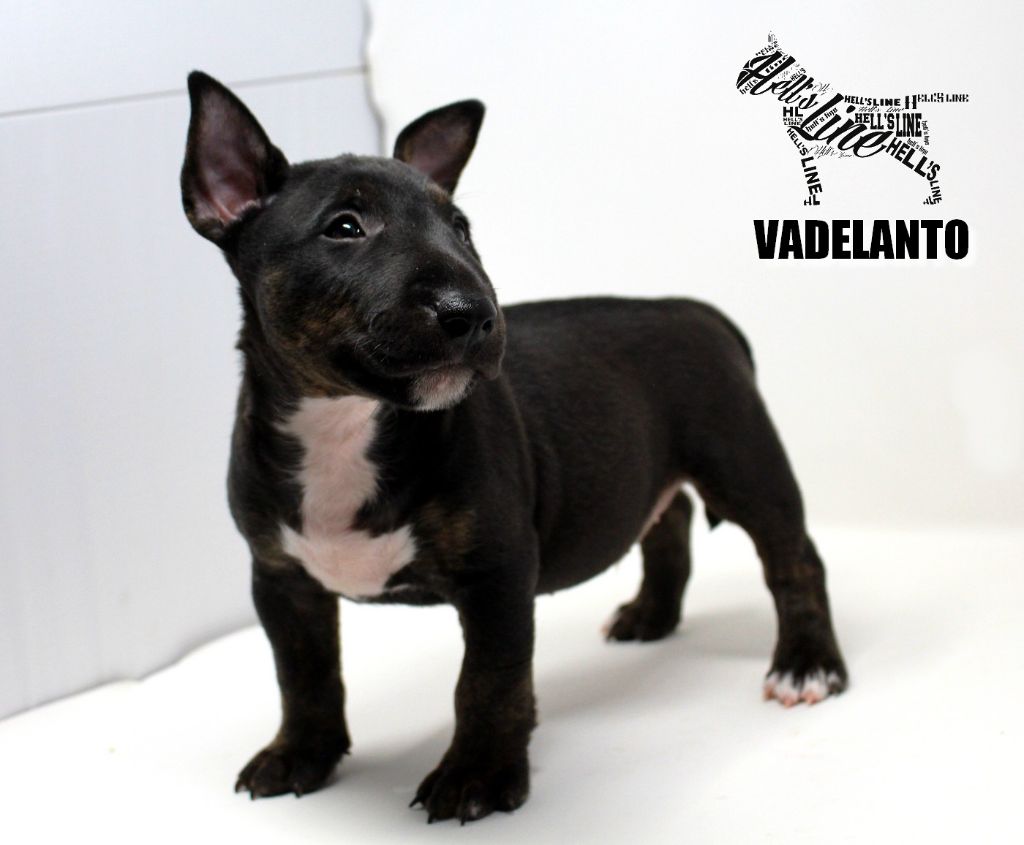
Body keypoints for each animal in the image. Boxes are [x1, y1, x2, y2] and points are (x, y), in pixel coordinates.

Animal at [180, 71, 848, 824]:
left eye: (462, 229)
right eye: (344, 227)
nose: (474, 314)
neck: (346, 422)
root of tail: (695, 309)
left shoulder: (498, 572)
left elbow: (488, 681)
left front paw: (476, 775)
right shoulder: (279, 578)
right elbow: (302, 672)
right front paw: (301, 753)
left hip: (744, 461)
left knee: (794, 559)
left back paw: (807, 665)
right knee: (666, 517)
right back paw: (650, 615)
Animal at [737, 32, 966, 206]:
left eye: (757, 60)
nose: (738, 82)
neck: (802, 97)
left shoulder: (803, 144)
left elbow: (811, 175)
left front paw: (814, 200)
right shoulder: (803, 144)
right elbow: (812, 175)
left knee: (930, 168)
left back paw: (934, 200)